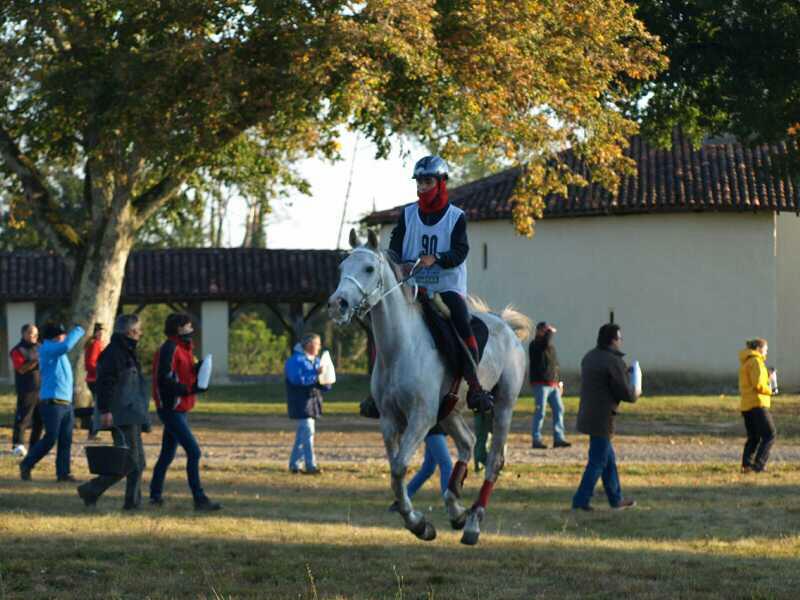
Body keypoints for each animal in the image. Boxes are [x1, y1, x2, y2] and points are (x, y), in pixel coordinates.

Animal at [328, 229, 528, 544]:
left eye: (369, 269)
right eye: (341, 268)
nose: (338, 305)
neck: (400, 348)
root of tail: (505, 325)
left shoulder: (421, 418)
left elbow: (399, 467)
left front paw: (418, 523)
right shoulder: (389, 420)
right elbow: (395, 471)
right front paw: (419, 523)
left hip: (504, 405)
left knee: (494, 460)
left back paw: (473, 523)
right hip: (450, 411)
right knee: (467, 443)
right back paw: (455, 507)